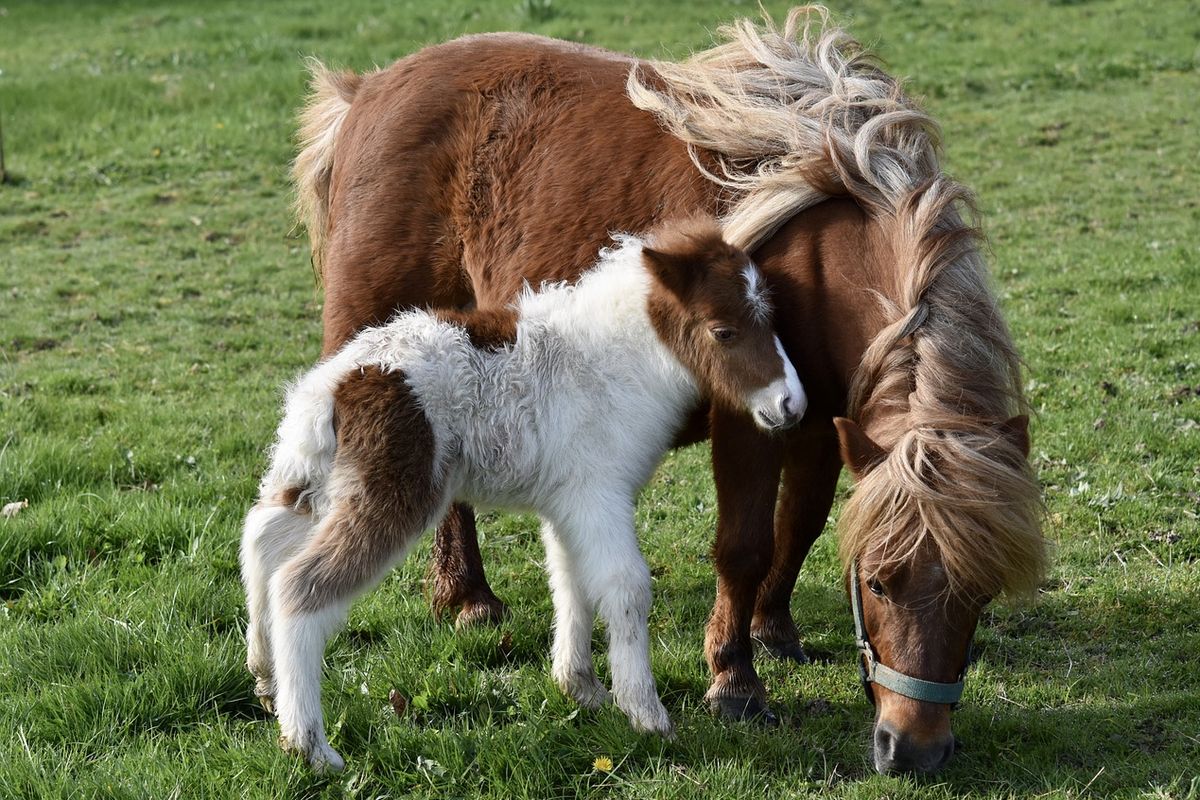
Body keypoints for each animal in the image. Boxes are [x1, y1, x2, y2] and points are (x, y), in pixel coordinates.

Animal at [241, 221, 806, 772]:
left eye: (771, 318)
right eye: (723, 331)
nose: (792, 405)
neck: (612, 362)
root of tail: (331, 388)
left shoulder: (568, 505)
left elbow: (571, 582)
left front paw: (582, 689)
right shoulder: (600, 494)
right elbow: (625, 587)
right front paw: (646, 714)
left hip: (310, 478)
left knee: (262, 540)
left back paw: (266, 681)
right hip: (395, 494)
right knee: (300, 587)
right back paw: (310, 746)